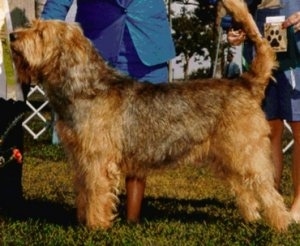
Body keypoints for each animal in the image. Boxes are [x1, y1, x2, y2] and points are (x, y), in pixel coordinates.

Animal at [8, 0, 290, 231]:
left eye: (41, 33)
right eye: (32, 26)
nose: (11, 35)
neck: (86, 87)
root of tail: (245, 83)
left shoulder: (98, 160)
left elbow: (96, 194)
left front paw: (95, 227)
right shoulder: (80, 159)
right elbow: (83, 193)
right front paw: (82, 221)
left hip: (247, 153)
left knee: (269, 191)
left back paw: (282, 225)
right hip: (228, 158)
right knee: (246, 191)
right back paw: (251, 219)